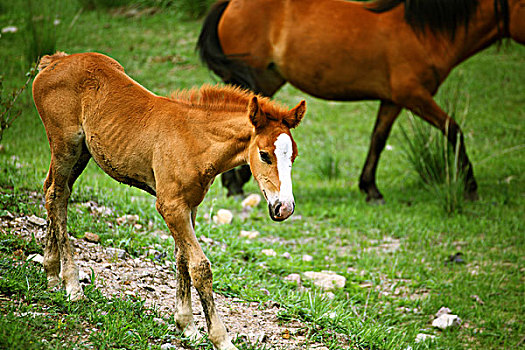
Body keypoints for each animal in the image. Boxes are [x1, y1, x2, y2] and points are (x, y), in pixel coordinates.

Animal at [32, 52, 304, 350]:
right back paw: (72, 285)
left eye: (293, 156)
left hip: (82, 153)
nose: (284, 207)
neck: (195, 140)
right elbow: (199, 266)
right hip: (65, 145)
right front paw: (220, 338)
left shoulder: (189, 206)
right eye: (265, 155)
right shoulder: (170, 205)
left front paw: (187, 327)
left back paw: (51, 274)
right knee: (56, 195)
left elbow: (182, 258)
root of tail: (56, 60)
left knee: (55, 192)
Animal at [198, 0, 524, 202]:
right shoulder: (414, 95)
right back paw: (235, 184)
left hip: (267, 80)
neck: (423, 33)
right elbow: (453, 129)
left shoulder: (393, 100)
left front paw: (370, 188)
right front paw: (470, 187)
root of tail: (229, 4)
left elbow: (378, 139)